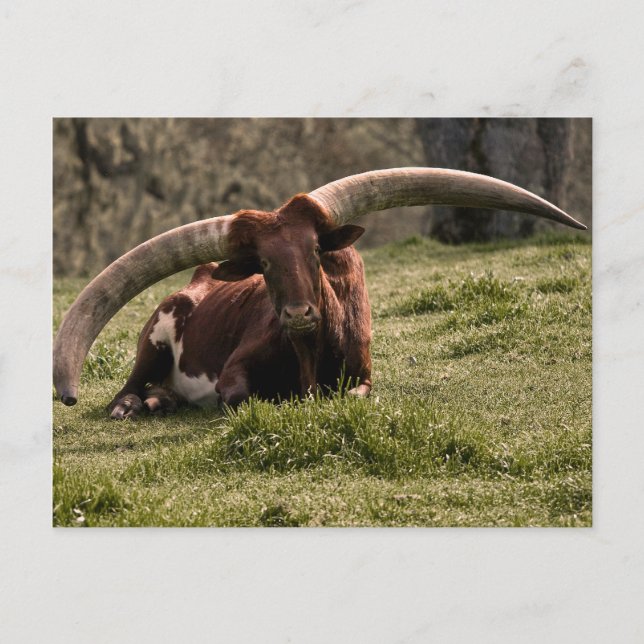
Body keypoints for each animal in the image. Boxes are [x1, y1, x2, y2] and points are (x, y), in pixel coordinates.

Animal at [53, 168, 586, 418]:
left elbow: (353, 395)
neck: (313, 350)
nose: (297, 314)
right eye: (264, 264)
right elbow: (240, 397)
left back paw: (160, 403)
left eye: (313, 250)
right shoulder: (233, 371)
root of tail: (194, 282)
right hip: (155, 335)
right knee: (128, 384)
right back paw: (131, 406)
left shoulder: (365, 374)